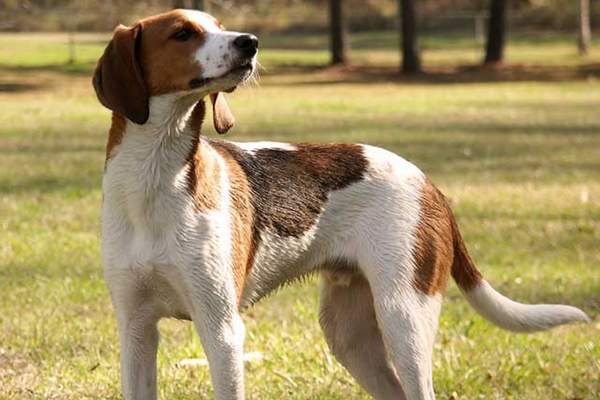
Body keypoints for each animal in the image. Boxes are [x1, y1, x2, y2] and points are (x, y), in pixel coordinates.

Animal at [94, 9, 592, 400]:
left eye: (218, 25)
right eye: (183, 33)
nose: (249, 42)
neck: (154, 179)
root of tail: (429, 183)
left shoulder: (221, 329)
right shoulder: (136, 329)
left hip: (403, 319)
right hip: (349, 334)